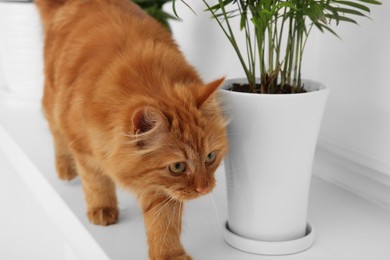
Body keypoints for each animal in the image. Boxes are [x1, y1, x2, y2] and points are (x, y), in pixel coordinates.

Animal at [35, 0, 229, 258]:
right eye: (178, 167)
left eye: (210, 157)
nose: (204, 188)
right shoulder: (85, 150)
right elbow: (97, 184)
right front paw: (102, 209)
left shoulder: (160, 190)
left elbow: (164, 224)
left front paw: (169, 254)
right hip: (53, 102)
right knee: (56, 133)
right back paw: (65, 168)